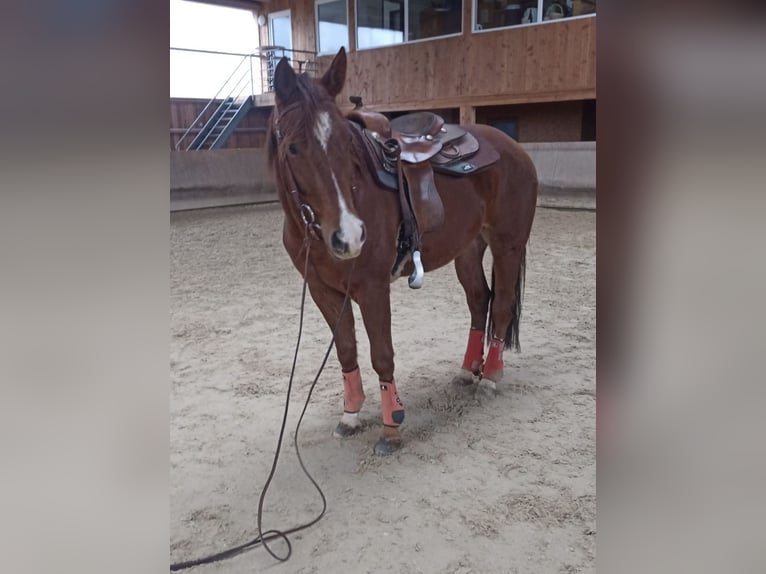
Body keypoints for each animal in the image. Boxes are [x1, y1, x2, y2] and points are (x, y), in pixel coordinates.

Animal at [267, 48, 537, 455]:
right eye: (294, 147)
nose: (349, 236)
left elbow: (382, 353)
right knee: (479, 301)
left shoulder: (372, 288)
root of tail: (515, 150)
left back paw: (490, 377)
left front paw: (391, 426)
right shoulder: (322, 290)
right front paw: (350, 416)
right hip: (467, 250)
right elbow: (346, 349)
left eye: (347, 144)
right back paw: (466, 371)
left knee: (502, 306)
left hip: (508, 246)